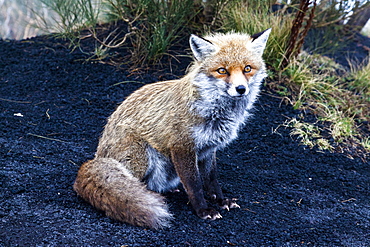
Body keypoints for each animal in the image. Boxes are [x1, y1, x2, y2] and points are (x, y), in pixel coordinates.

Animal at [73, 29, 272, 230]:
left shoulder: (209, 148)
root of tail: (97, 157)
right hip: (142, 156)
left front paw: (221, 201)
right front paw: (203, 210)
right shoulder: (182, 146)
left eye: (247, 68)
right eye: (222, 71)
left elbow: (211, 180)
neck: (215, 112)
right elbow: (194, 184)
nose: (241, 89)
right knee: (133, 185)